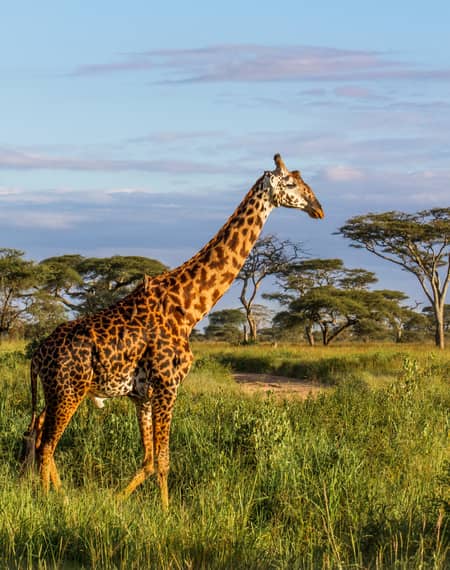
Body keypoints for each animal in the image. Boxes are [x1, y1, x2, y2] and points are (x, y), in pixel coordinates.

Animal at [22, 153, 324, 508]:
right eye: (291, 183)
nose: (318, 208)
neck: (188, 307)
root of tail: (37, 355)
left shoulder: (142, 394)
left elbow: (148, 460)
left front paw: (118, 499)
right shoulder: (168, 384)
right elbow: (164, 461)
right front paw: (167, 515)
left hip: (58, 391)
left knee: (37, 431)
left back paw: (59, 493)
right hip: (69, 390)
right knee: (46, 443)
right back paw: (52, 501)